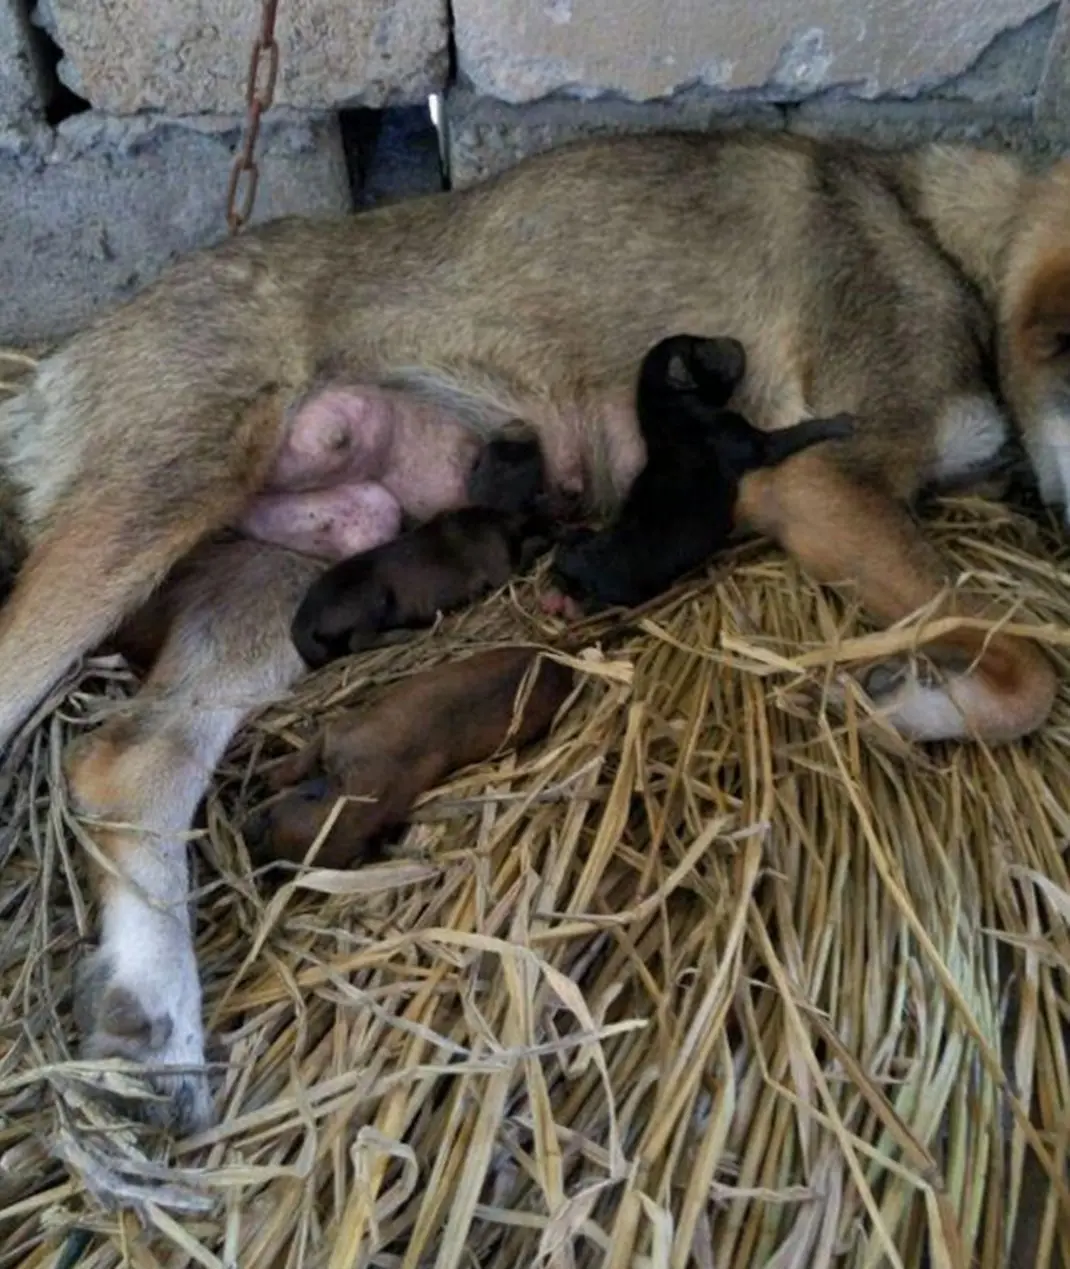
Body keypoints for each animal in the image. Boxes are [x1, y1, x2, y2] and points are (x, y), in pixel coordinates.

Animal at [247, 649, 573, 867]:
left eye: (270, 820)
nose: (249, 835)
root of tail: (559, 664)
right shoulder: (337, 734)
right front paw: (271, 778)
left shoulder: (343, 734)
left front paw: (270, 780)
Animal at [294, 428, 553, 670]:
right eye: (514, 456)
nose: (531, 434)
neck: (489, 509)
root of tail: (301, 622)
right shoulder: (500, 567)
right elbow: (523, 556)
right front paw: (544, 537)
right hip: (370, 596)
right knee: (358, 641)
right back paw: (406, 634)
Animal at [553, 335, 852, 616]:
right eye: (705, 351)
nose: (736, 342)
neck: (668, 416)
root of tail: (578, 564)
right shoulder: (738, 437)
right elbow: (782, 440)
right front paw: (840, 422)